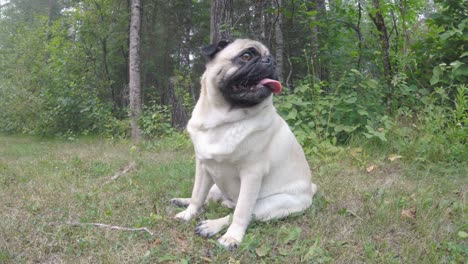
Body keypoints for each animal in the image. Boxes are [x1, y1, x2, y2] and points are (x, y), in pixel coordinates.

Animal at [170, 38, 316, 250]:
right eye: (246, 56)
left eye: (270, 57)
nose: (270, 61)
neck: (222, 120)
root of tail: (310, 190)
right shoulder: (203, 167)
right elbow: (197, 195)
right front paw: (188, 214)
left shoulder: (252, 174)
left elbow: (241, 213)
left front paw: (232, 237)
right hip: (216, 185)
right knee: (207, 199)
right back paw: (182, 201)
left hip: (269, 204)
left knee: (238, 212)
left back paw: (211, 226)